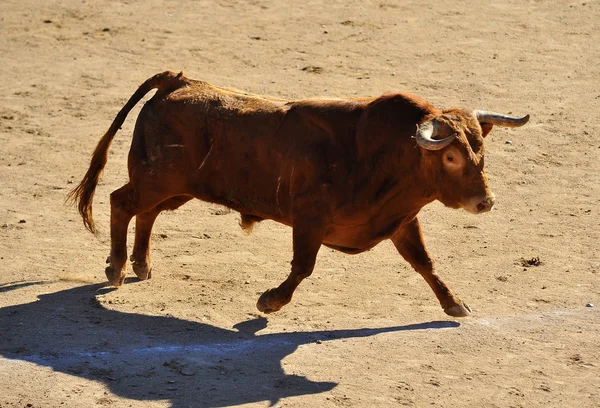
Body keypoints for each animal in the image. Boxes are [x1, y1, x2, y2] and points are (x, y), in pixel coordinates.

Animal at [69, 71, 528, 318]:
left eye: (481, 151)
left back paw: (141, 265)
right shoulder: (309, 219)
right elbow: (303, 266)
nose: (485, 202)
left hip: (174, 188)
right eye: (450, 156)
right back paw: (116, 268)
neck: (385, 155)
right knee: (121, 203)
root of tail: (176, 82)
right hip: (158, 179)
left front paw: (455, 304)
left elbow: (424, 263)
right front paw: (269, 301)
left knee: (146, 213)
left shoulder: (400, 220)